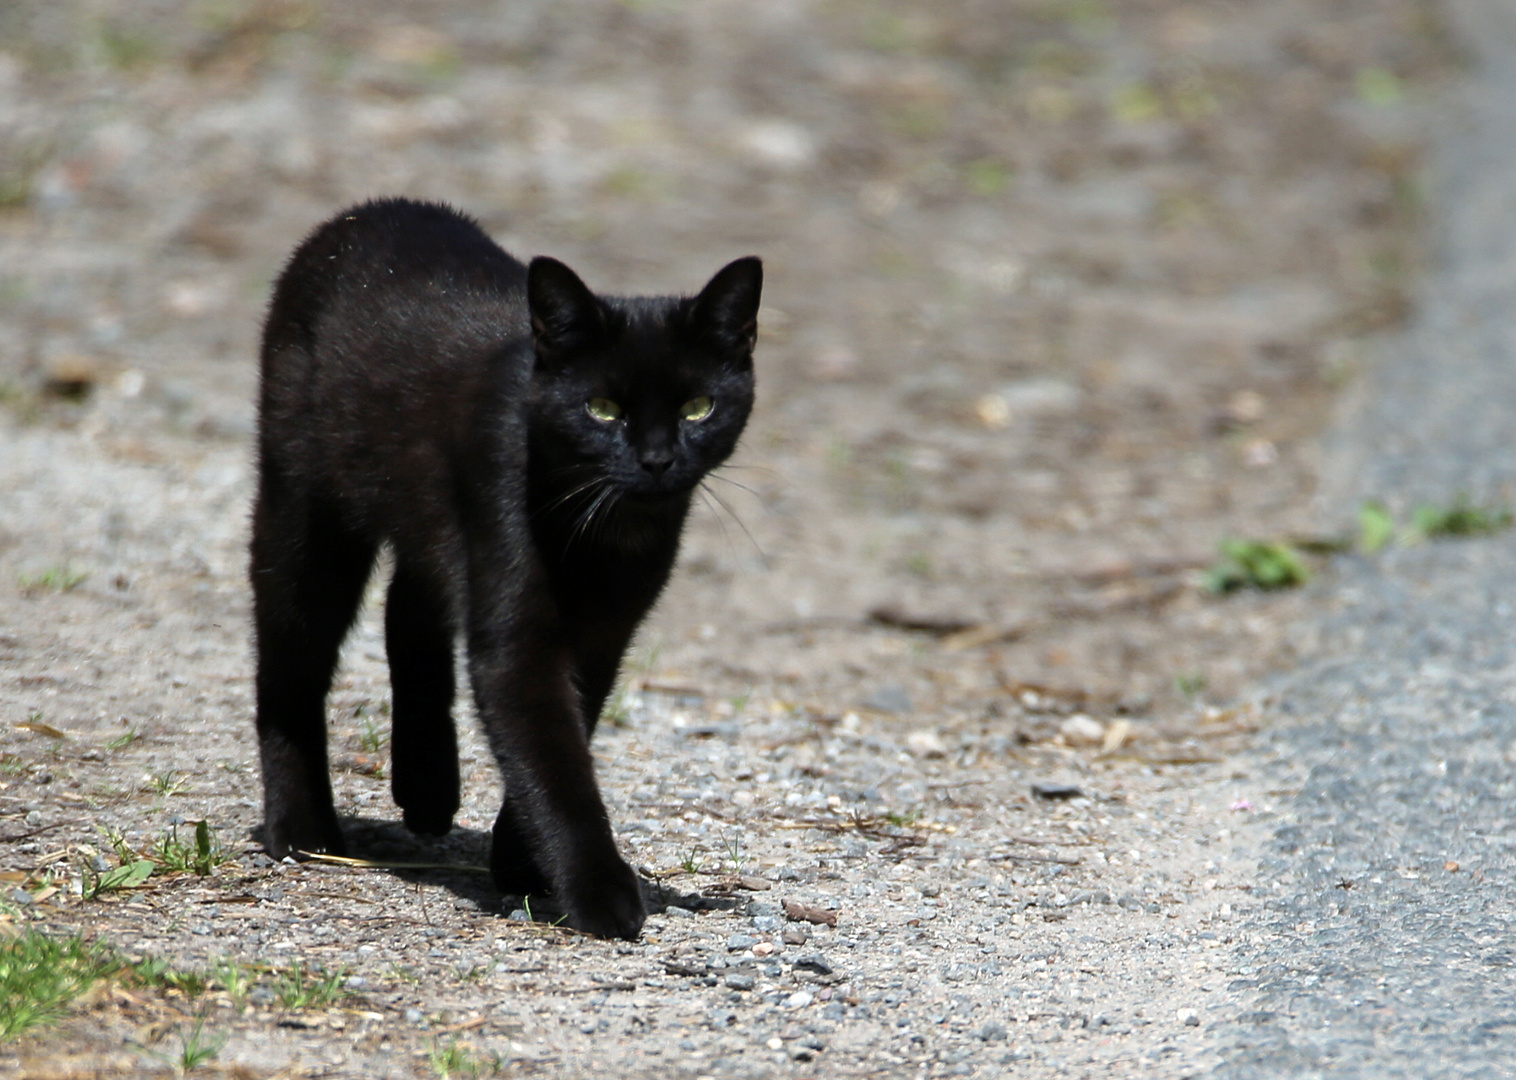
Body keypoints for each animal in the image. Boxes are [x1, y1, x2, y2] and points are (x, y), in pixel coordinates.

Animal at [256, 200, 770, 934]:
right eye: (602, 410)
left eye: (698, 408)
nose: (657, 460)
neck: (608, 539)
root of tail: (369, 212)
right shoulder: (515, 619)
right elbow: (552, 758)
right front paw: (598, 891)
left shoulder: (605, 635)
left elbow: (566, 735)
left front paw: (521, 862)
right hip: (305, 514)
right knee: (291, 662)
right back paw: (301, 829)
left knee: (409, 611)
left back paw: (427, 788)